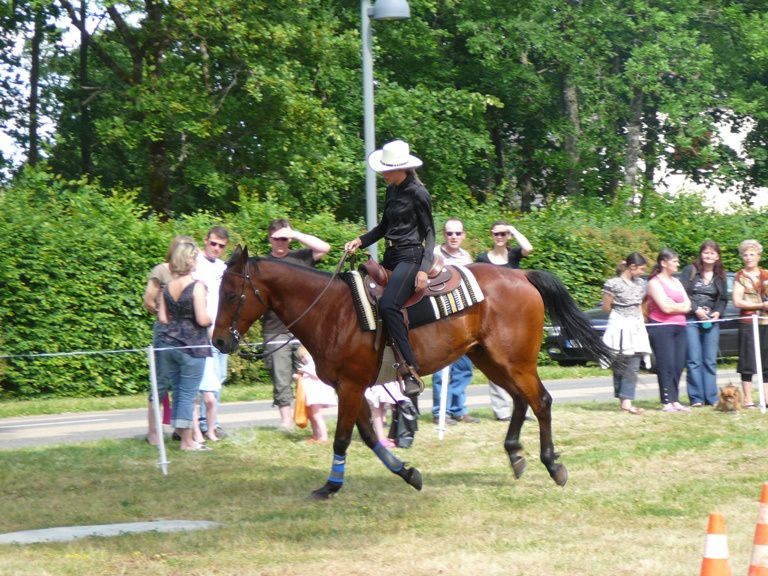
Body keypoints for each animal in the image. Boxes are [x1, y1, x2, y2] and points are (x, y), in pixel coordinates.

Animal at [210, 248, 612, 500]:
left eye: (230, 294)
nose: (217, 341)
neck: (331, 310)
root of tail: (522, 274)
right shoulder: (350, 387)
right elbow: (369, 437)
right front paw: (407, 473)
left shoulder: (351, 386)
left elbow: (343, 439)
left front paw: (330, 486)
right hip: (491, 359)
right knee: (518, 400)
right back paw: (514, 454)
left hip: (516, 361)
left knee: (540, 401)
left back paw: (553, 464)